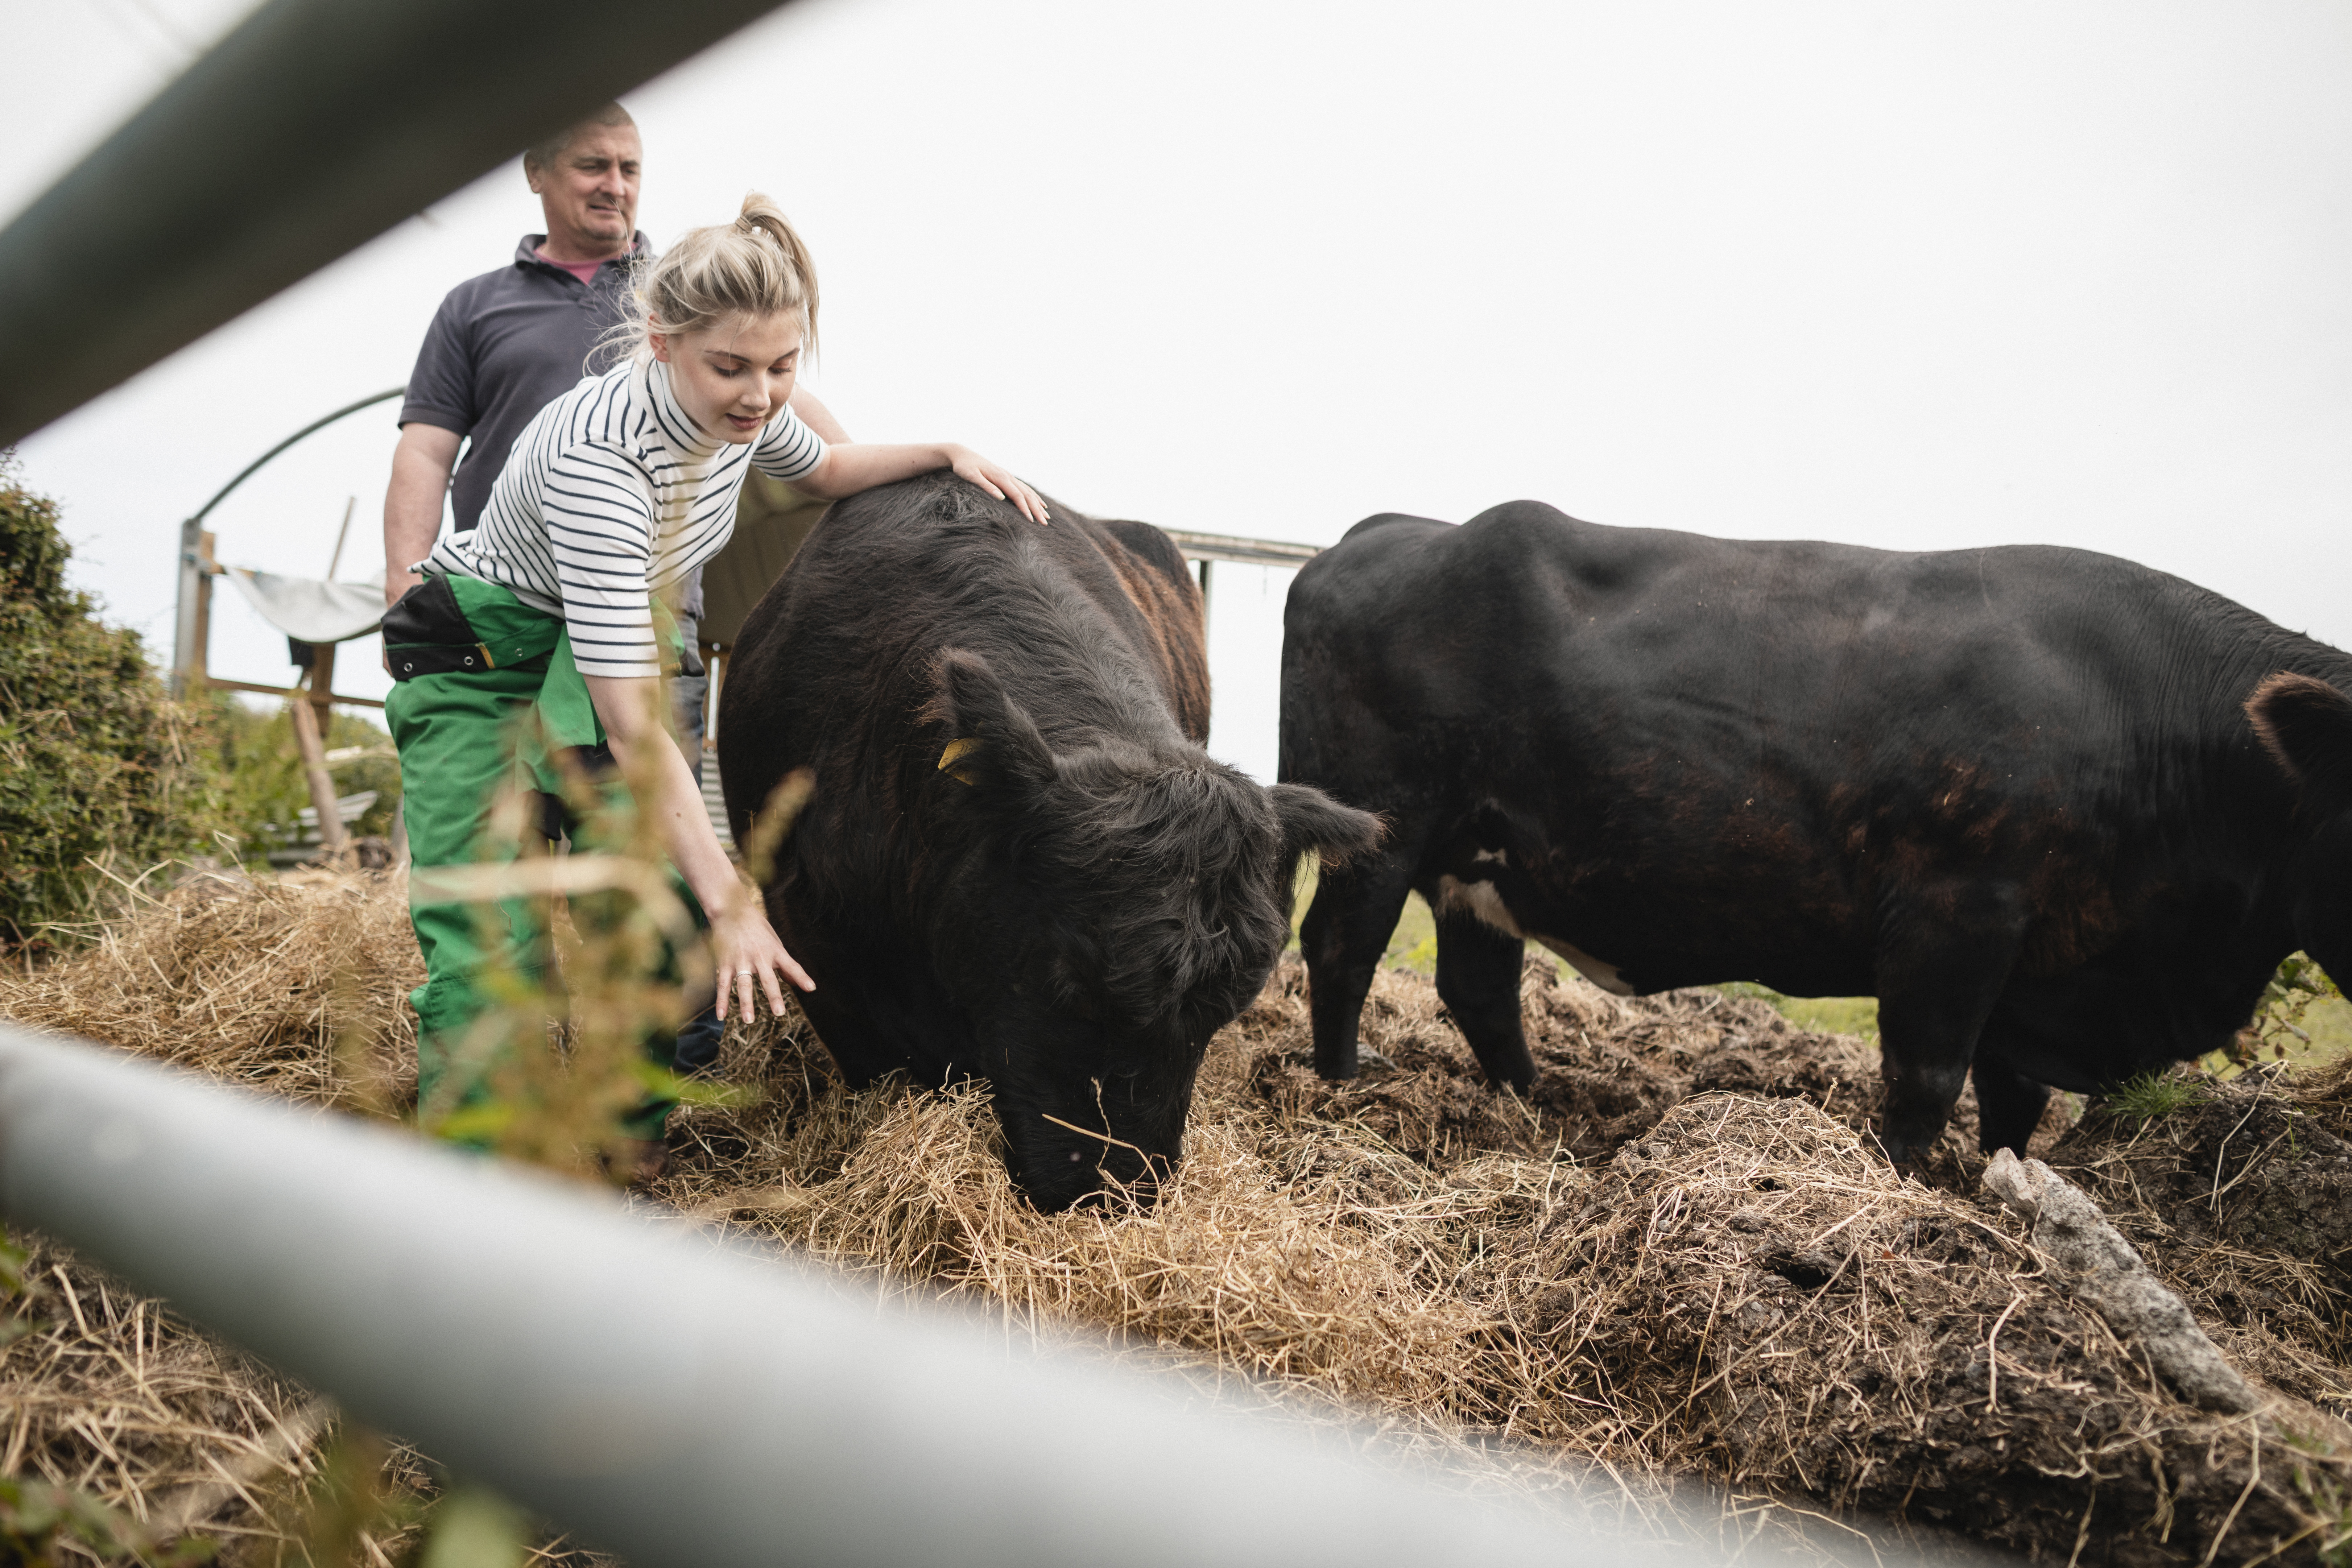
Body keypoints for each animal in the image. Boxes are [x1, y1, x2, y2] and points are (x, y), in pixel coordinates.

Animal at [1279, 503, 2352, 1166]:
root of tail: (1390, 530)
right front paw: (1897, 1187)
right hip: (1380, 825)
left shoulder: (2035, 966)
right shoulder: (1955, 913)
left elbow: (2011, 1106)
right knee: (1339, 947)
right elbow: (1924, 1080)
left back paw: (1528, 1108)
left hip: (1481, 859)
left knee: (1477, 985)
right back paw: (1339, 1096)